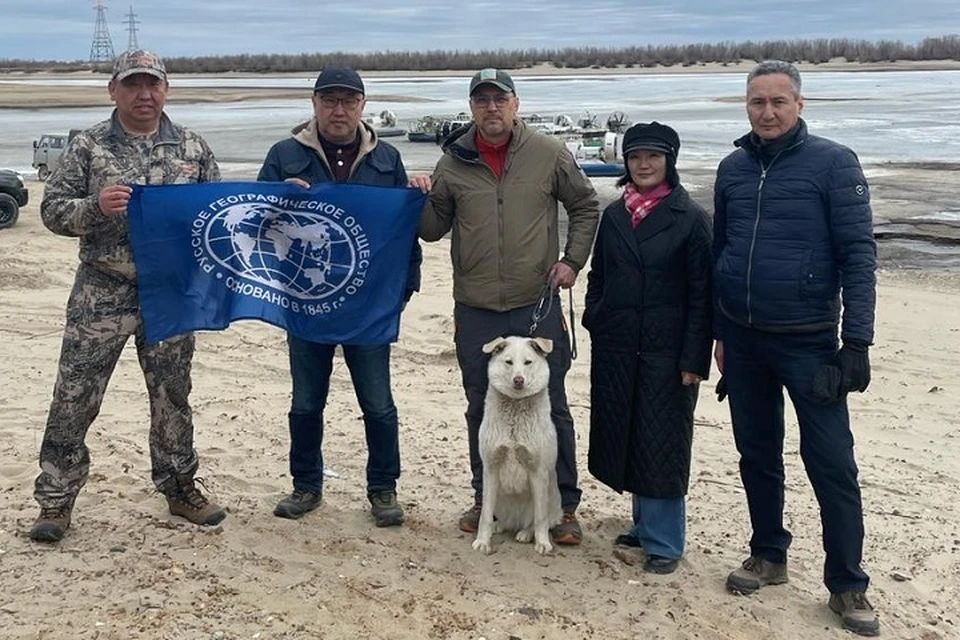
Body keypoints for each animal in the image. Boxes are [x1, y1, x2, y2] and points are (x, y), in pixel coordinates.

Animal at [472, 336, 564, 556]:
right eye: (508, 362)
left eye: (528, 362)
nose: (518, 380)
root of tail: (515, 522)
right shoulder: (491, 469)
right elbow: (485, 515)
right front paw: (483, 541)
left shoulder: (538, 472)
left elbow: (540, 517)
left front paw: (542, 543)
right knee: (500, 518)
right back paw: (500, 526)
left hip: (552, 498)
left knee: (538, 520)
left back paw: (526, 533)